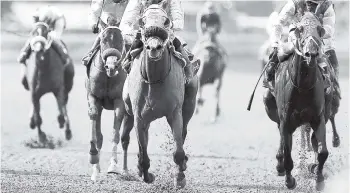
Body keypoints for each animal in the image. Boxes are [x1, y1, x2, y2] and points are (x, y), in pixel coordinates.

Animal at [85, 24, 130, 181]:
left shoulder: (119, 102)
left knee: (126, 139)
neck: (108, 77)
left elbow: (115, 134)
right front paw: (94, 165)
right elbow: (97, 133)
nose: (111, 66)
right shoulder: (94, 98)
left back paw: (125, 171)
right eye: (103, 40)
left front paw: (113, 166)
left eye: (121, 41)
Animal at [121, 1, 198, 188]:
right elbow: (143, 150)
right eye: (142, 22)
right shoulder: (139, 117)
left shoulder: (175, 113)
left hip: (189, 106)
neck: (155, 80)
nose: (154, 47)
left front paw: (180, 177)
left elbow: (178, 150)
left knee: (183, 132)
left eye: (166, 21)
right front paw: (146, 174)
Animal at [262, 12, 334, 191]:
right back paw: (280, 165)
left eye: (320, 29)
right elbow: (288, 155)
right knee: (281, 137)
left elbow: (322, 152)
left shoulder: (318, 118)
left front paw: (319, 180)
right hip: (272, 109)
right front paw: (290, 180)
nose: (311, 53)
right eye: (299, 29)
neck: (302, 86)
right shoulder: (286, 120)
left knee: (313, 141)